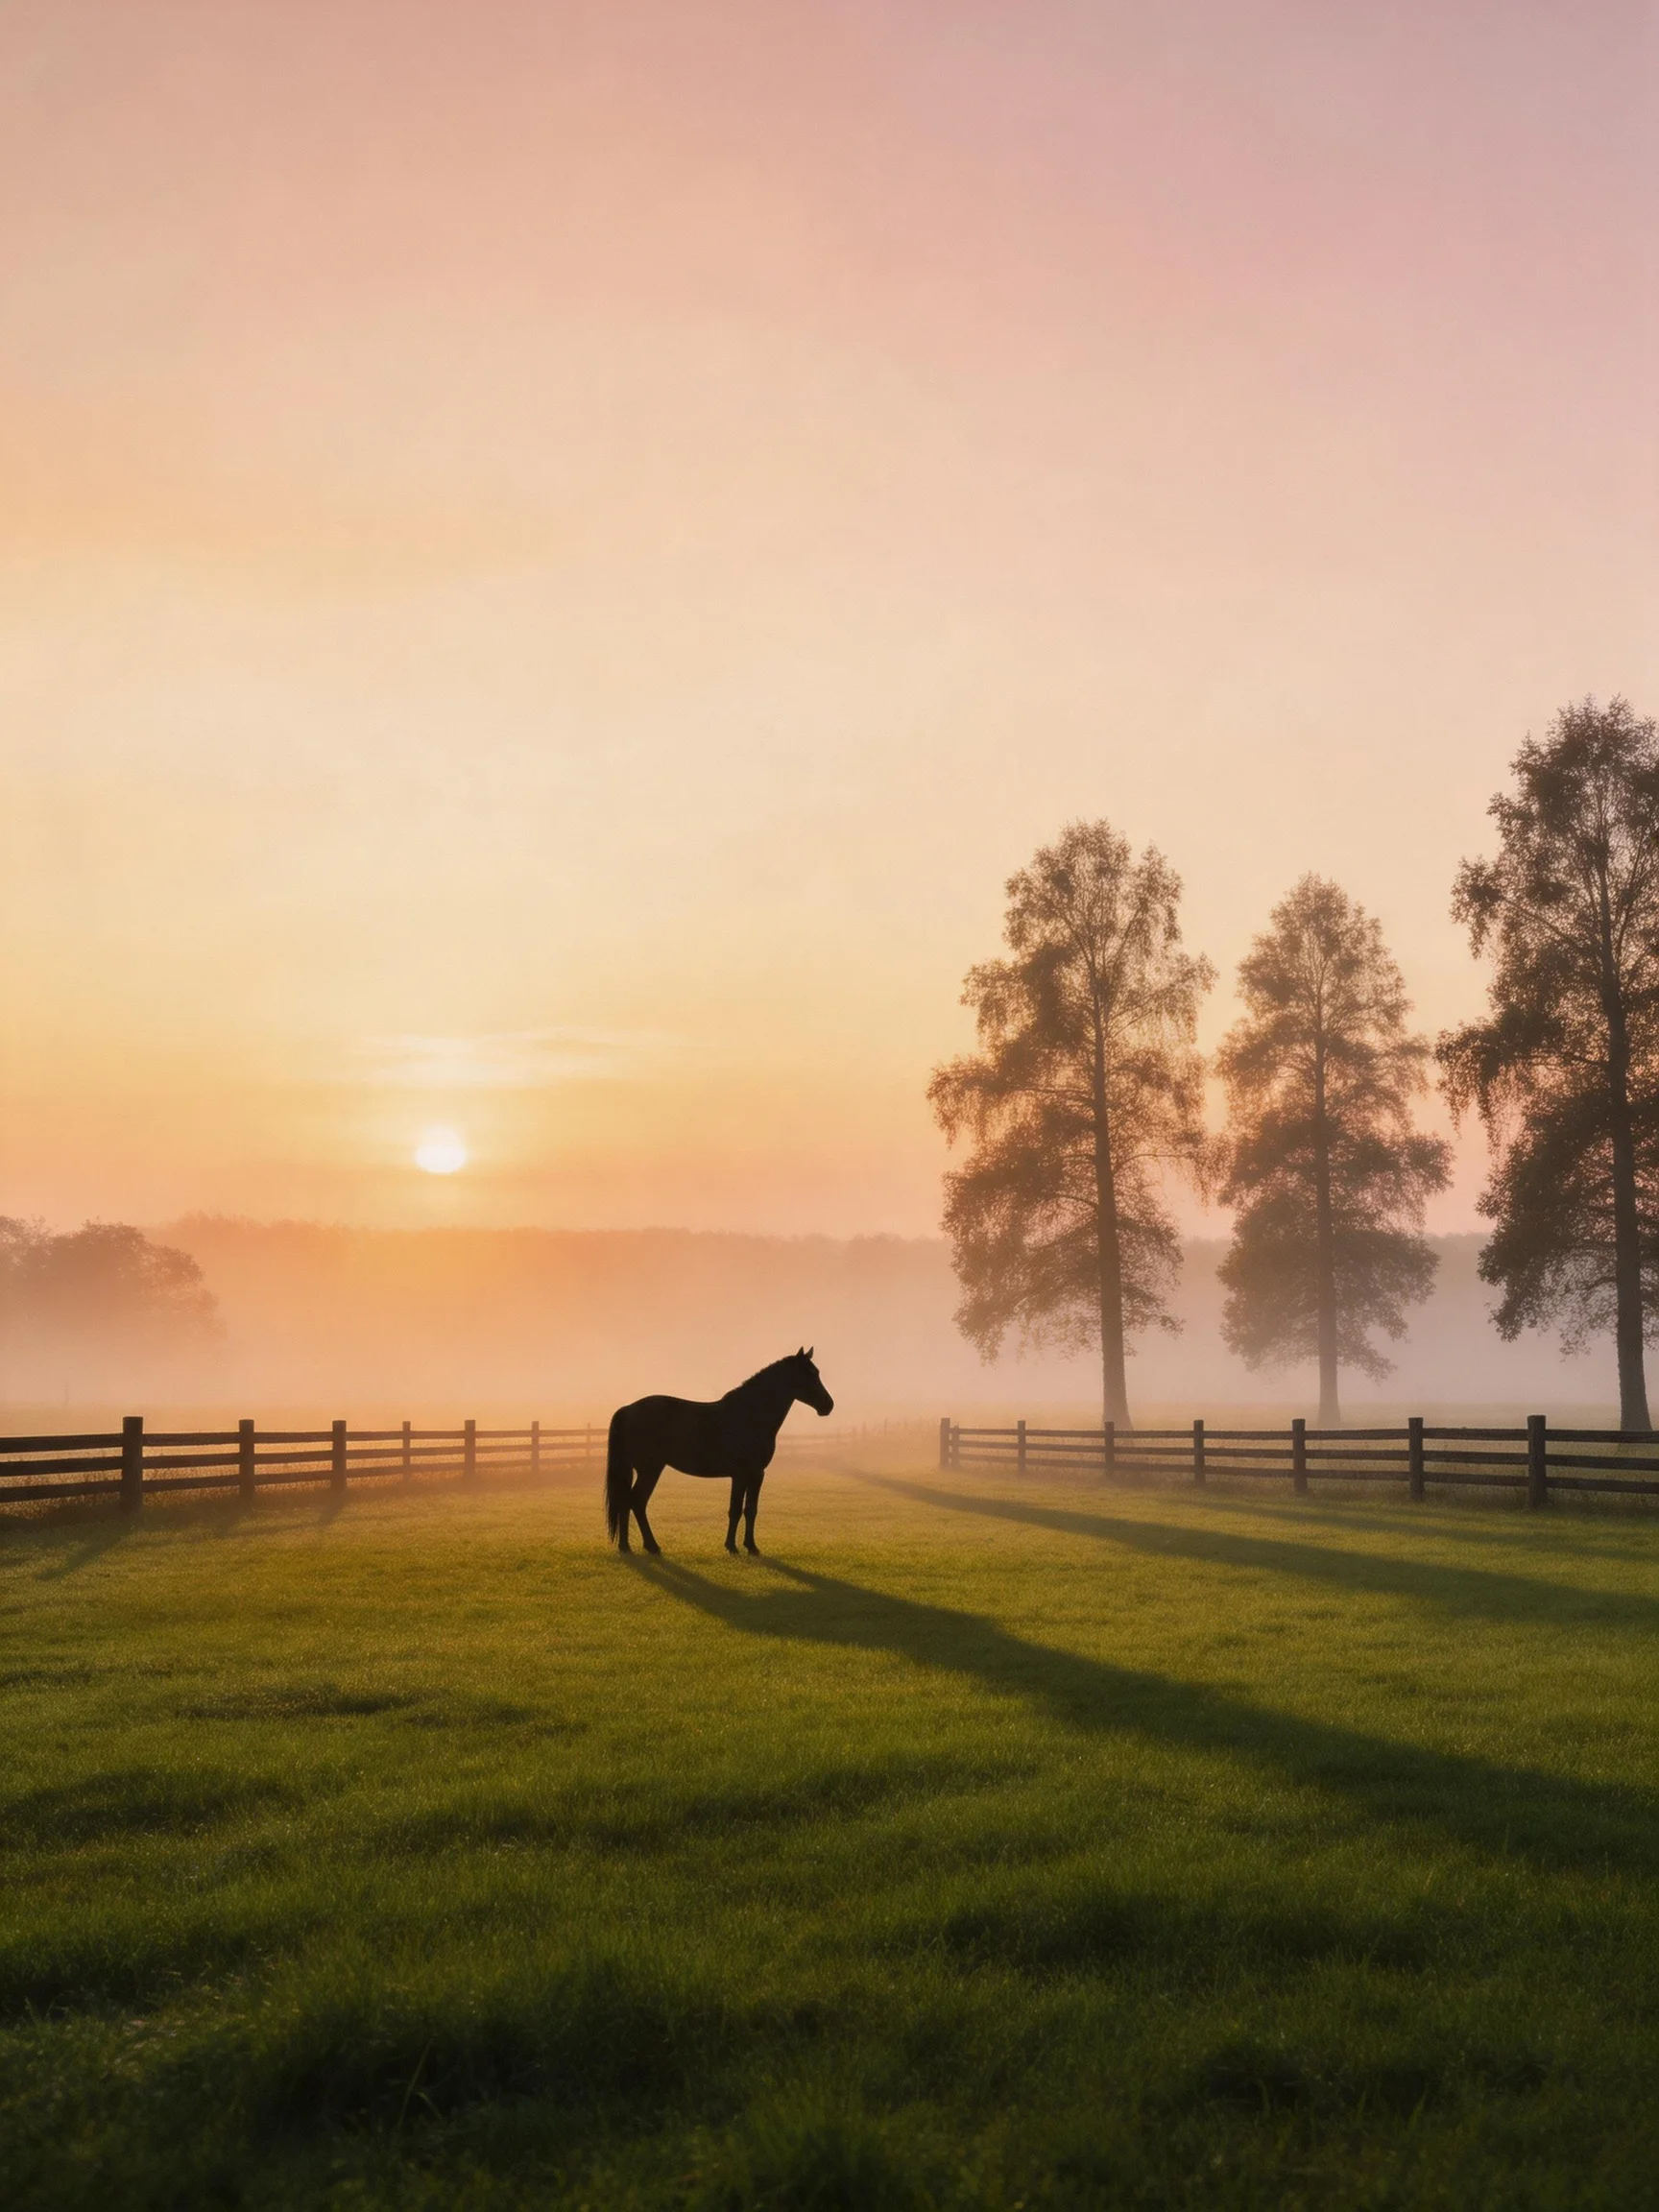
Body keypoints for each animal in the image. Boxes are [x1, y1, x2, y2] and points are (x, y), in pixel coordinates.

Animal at [605, 1348, 834, 1555]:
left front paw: (747, 1546)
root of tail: (627, 1409)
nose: (828, 1405)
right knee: (636, 1501)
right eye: (808, 1374)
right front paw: (737, 1546)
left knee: (628, 1502)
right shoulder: (745, 1474)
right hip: (650, 1469)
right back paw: (650, 1546)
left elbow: (747, 1510)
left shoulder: (752, 1475)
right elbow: (738, 1510)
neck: (751, 1414)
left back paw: (627, 1546)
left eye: (817, 1372)